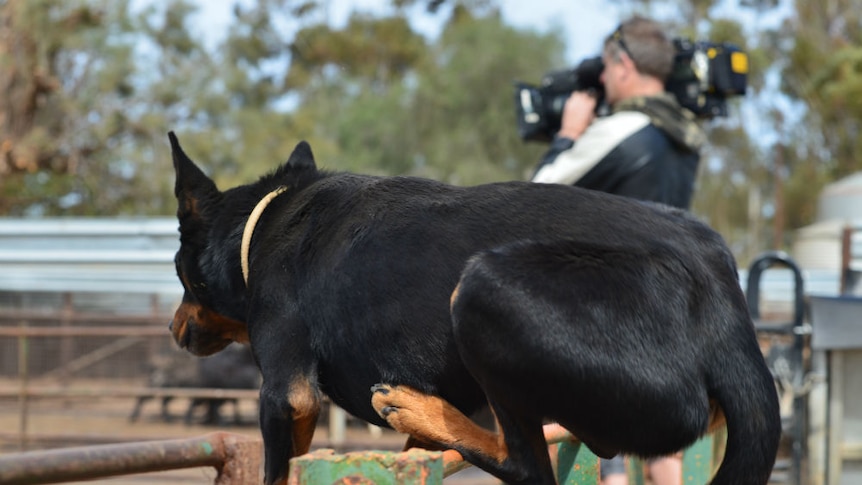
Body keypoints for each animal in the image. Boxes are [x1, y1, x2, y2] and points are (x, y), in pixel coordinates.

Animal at [169, 130, 784, 482]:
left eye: (178, 270)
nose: (174, 328)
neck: (264, 221)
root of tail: (725, 313)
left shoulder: (286, 395)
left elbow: (279, 463)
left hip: (483, 289)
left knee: (528, 466)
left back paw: (414, 407)